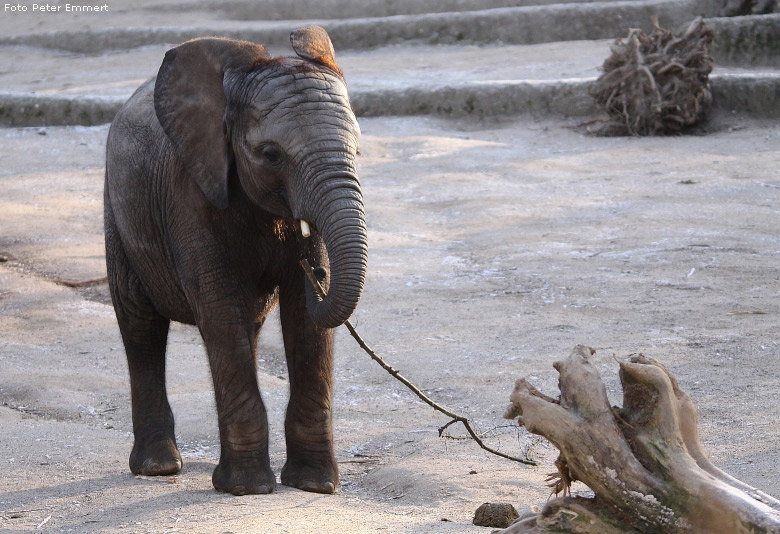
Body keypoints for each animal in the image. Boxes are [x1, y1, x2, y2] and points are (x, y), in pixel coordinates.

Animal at [104, 26, 368, 498]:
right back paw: (158, 467)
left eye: (357, 150)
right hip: (118, 212)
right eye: (271, 154)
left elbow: (303, 321)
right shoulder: (189, 194)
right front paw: (246, 489)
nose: (316, 272)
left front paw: (314, 486)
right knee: (140, 323)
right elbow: (220, 308)